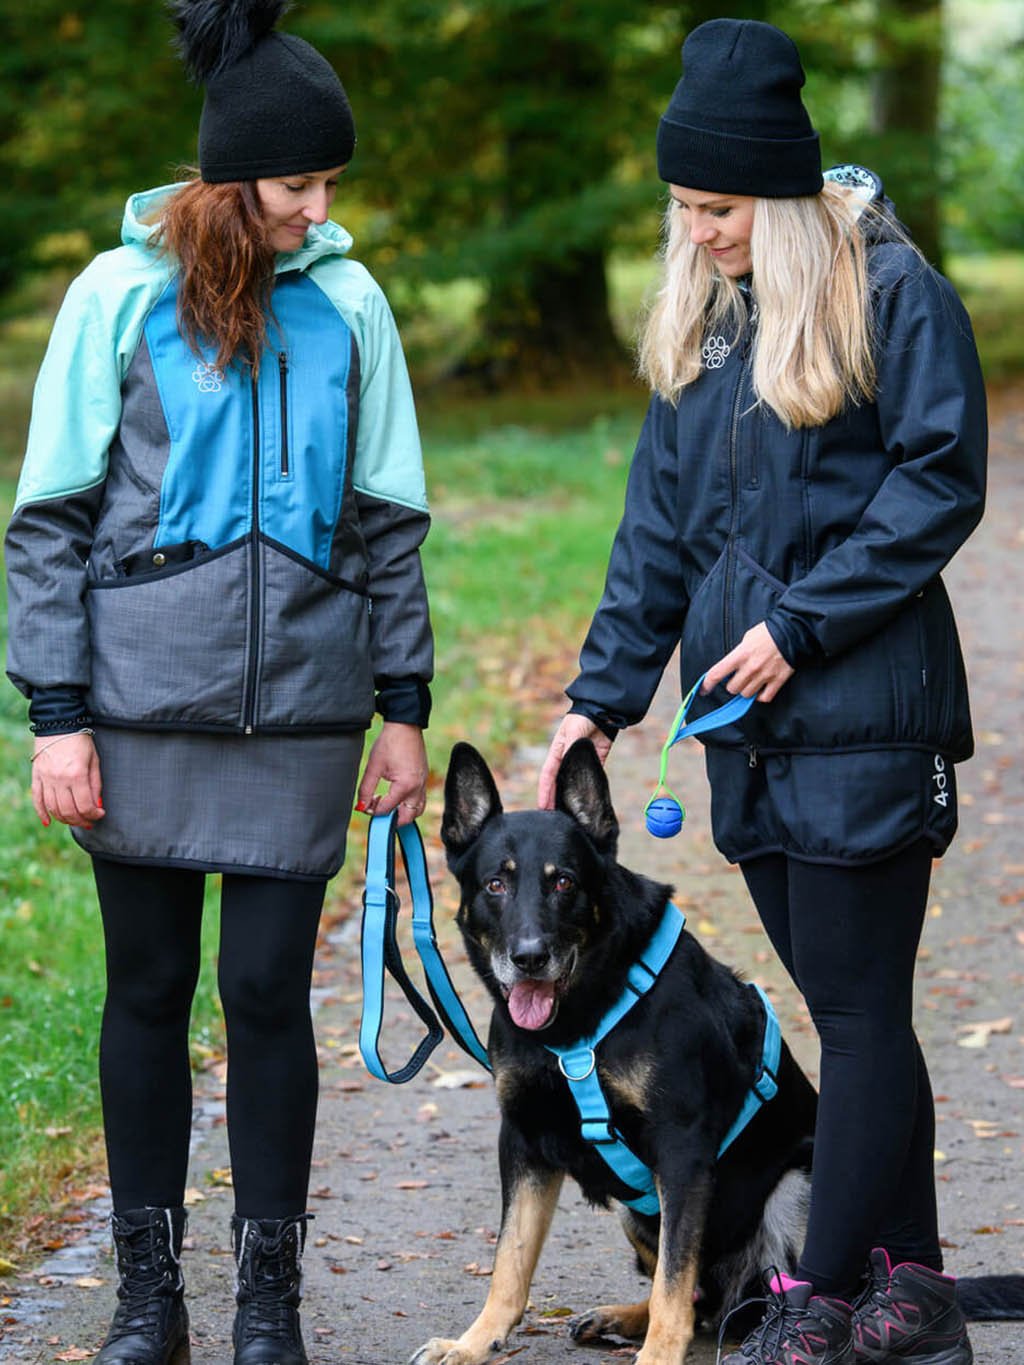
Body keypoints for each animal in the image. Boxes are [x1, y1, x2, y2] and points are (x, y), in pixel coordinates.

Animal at [409, 737, 819, 1365]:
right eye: (495, 885)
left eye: (564, 882)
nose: (529, 958)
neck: (576, 1027)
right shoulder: (524, 1141)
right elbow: (510, 1261)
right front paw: (475, 1341)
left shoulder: (681, 1153)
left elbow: (674, 1278)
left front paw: (658, 1356)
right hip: (637, 1210)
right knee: (699, 1299)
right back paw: (618, 1317)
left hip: (797, 1187)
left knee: (731, 1293)